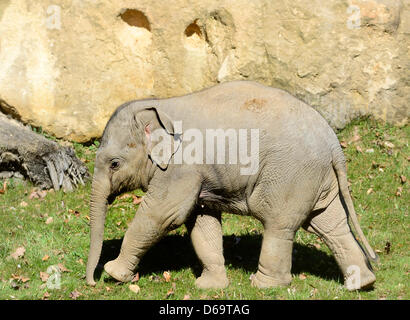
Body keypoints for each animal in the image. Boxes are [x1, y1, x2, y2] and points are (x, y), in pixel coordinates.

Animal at [85, 80, 378, 290]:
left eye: (114, 164)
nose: (92, 282)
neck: (159, 103)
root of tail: (333, 143)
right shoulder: (199, 174)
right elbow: (201, 221)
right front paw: (209, 286)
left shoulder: (182, 167)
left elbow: (162, 214)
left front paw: (114, 273)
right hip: (318, 178)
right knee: (330, 223)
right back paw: (361, 284)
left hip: (290, 174)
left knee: (278, 222)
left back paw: (265, 286)